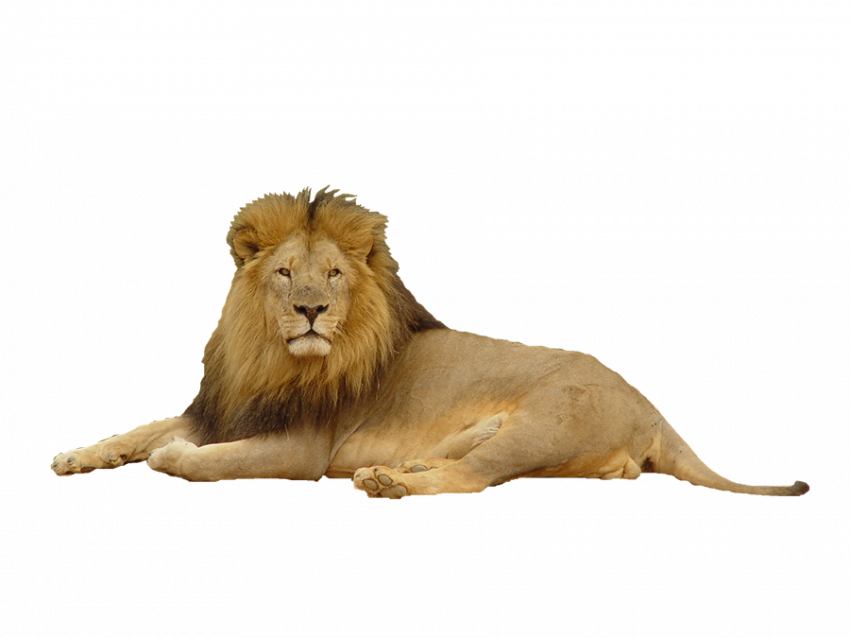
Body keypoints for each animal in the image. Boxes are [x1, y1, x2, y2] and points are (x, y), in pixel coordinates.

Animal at [50, 186, 811, 499]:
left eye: (334, 274)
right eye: (285, 272)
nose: (310, 311)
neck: (267, 354)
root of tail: (653, 408)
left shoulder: (301, 447)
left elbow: (206, 459)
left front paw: (174, 458)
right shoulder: (224, 407)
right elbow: (142, 428)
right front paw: (73, 456)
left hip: (542, 425)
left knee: (475, 479)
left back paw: (388, 482)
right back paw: (396, 468)